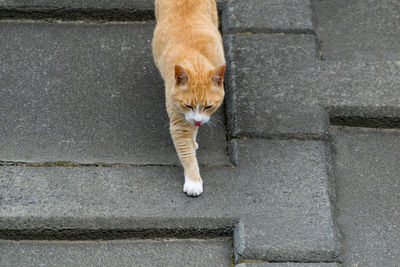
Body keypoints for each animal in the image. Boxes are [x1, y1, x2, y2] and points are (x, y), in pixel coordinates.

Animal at [152, 0, 225, 197]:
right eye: (188, 105)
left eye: (209, 107)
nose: (198, 121)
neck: (195, 58)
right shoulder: (179, 120)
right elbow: (186, 154)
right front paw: (193, 180)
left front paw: (194, 138)